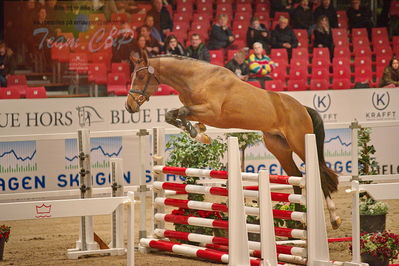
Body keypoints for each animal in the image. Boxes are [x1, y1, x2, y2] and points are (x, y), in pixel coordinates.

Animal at [126, 53, 342, 229]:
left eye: (141, 76)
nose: (129, 107)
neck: (198, 79)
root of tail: (302, 108)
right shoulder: (199, 112)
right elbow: (173, 115)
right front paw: (199, 132)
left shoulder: (211, 112)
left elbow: (181, 112)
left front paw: (197, 133)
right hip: (280, 148)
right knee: (296, 178)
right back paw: (298, 221)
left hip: (300, 144)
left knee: (319, 176)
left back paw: (334, 218)